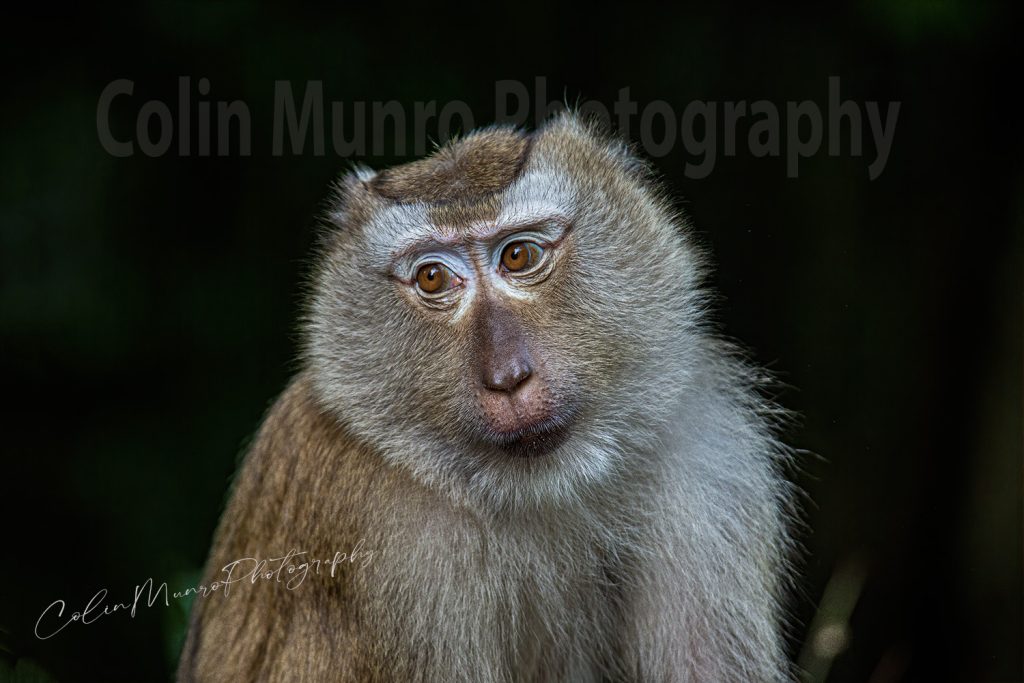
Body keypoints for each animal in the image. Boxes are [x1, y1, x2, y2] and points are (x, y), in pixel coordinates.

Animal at [177, 112, 797, 682]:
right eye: (432, 278)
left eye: (519, 256)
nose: (507, 376)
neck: (543, 490)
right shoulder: (382, 548)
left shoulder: (708, 456)